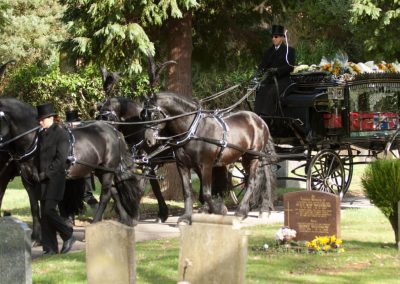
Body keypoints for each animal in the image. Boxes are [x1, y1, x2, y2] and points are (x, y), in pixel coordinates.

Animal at [0, 97, 144, 226]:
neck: (35, 142)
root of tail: (113, 131)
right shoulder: (28, 182)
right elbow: (35, 207)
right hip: (101, 170)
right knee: (114, 191)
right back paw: (126, 219)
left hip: (107, 170)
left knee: (106, 195)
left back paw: (96, 222)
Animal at [144, 92, 278, 223]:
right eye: (144, 116)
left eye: (155, 115)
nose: (148, 140)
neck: (194, 130)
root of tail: (260, 120)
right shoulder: (182, 165)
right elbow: (187, 192)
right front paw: (186, 218)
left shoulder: (206, 165)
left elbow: (207, 193)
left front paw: (218, 211)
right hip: (245, 157)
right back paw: (247, 210)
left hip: (253, 157)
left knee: (251, 182)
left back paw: (242, 212)